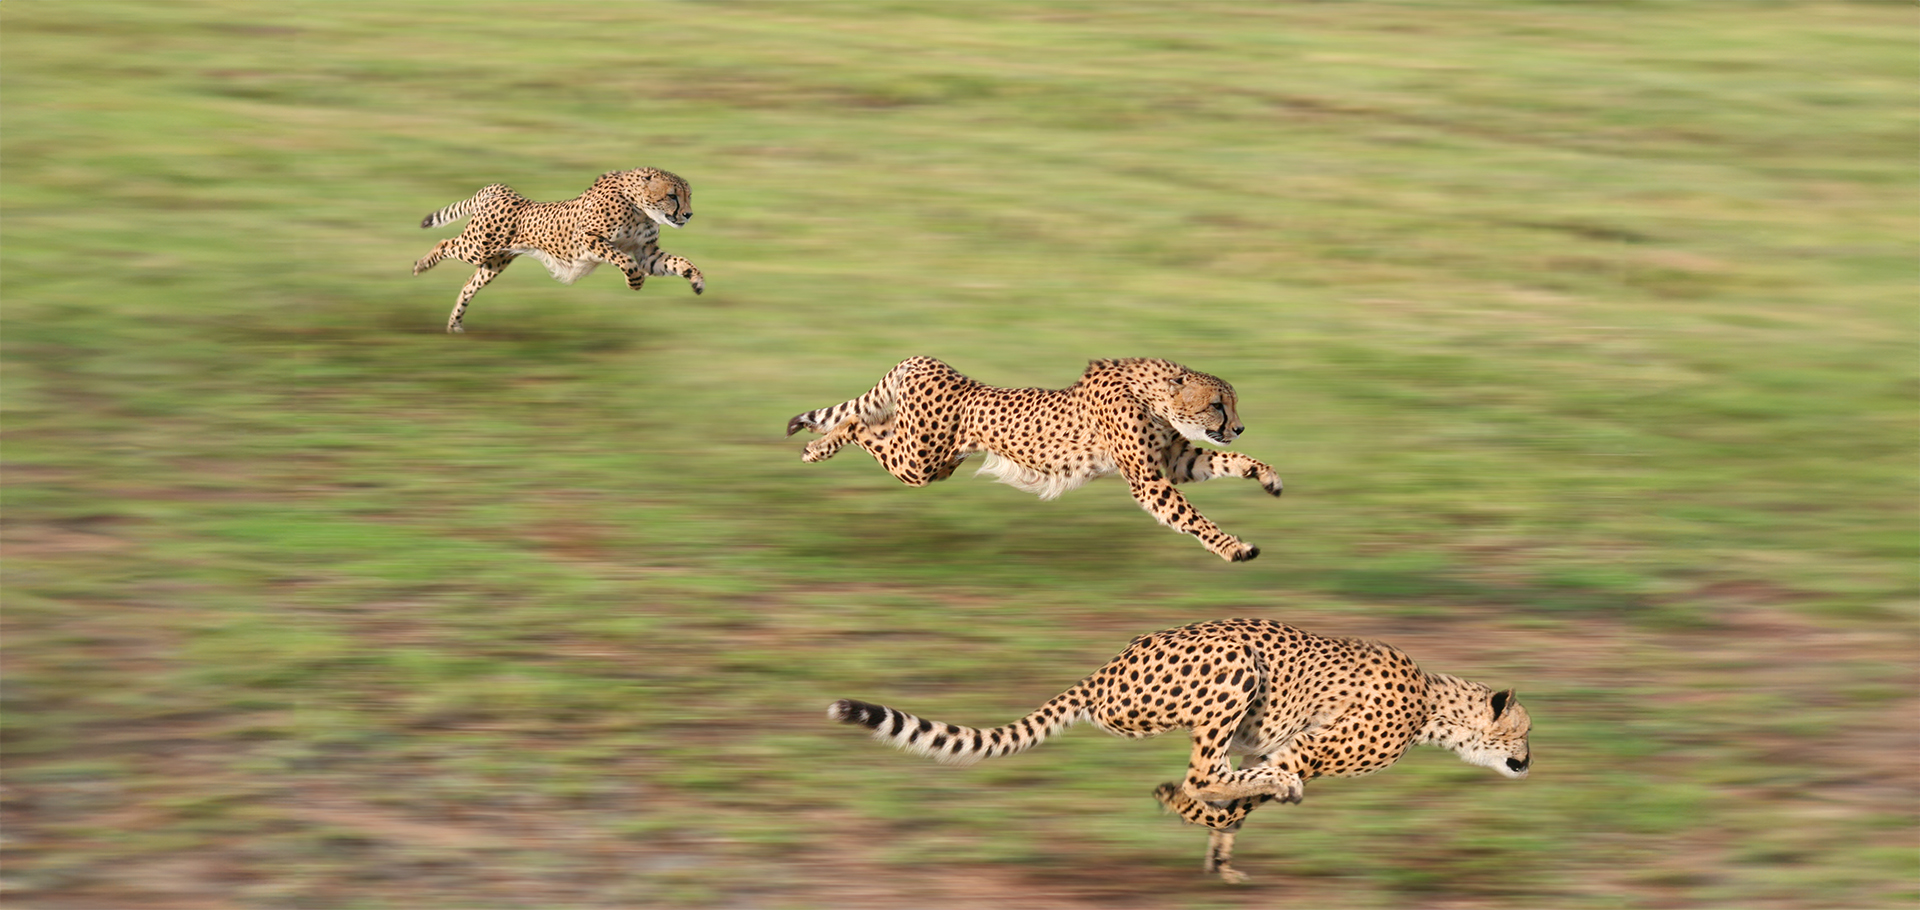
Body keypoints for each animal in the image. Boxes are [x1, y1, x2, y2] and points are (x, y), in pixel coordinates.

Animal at [411, 167, 703, 333]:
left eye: (688, 195)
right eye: (672, 195)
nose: (689, 214)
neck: (640, 208)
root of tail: (501, 189)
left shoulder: (646, 254)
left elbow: (679, 261)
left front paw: (696, 279)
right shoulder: (588, 238)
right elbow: (624, 260)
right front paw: (634, 283)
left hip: (495, 262)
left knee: (469, 285)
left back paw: (454, 324)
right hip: (477, 246)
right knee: (444, 243)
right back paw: (421, 266)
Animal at [785, 357, 1285, 562]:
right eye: (1218, 404)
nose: (1239, 426)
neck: (1154, 396)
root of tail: (927, 361)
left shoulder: (1176, 461)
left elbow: (1228, 461)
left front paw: (1266, 475)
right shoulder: (1148, 480)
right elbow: (1194, 517)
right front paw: (1233, 548)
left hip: (930, 456)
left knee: (867, 423)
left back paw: (817, 443)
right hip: (918, 461)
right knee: (857, 424)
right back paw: (818, 446)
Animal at [828, 617, 1532, 884]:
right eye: (1524, 732)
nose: (1530, 761)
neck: (1436, 703)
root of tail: (1106, 669)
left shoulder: (1276, 749)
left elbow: (1243, 801)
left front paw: (1219, 857)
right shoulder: (1307, 747)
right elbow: (1253, 788)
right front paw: (1207, 823)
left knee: (1209, 772)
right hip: (1235, 667)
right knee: (1200, 772)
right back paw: (1177, 793)